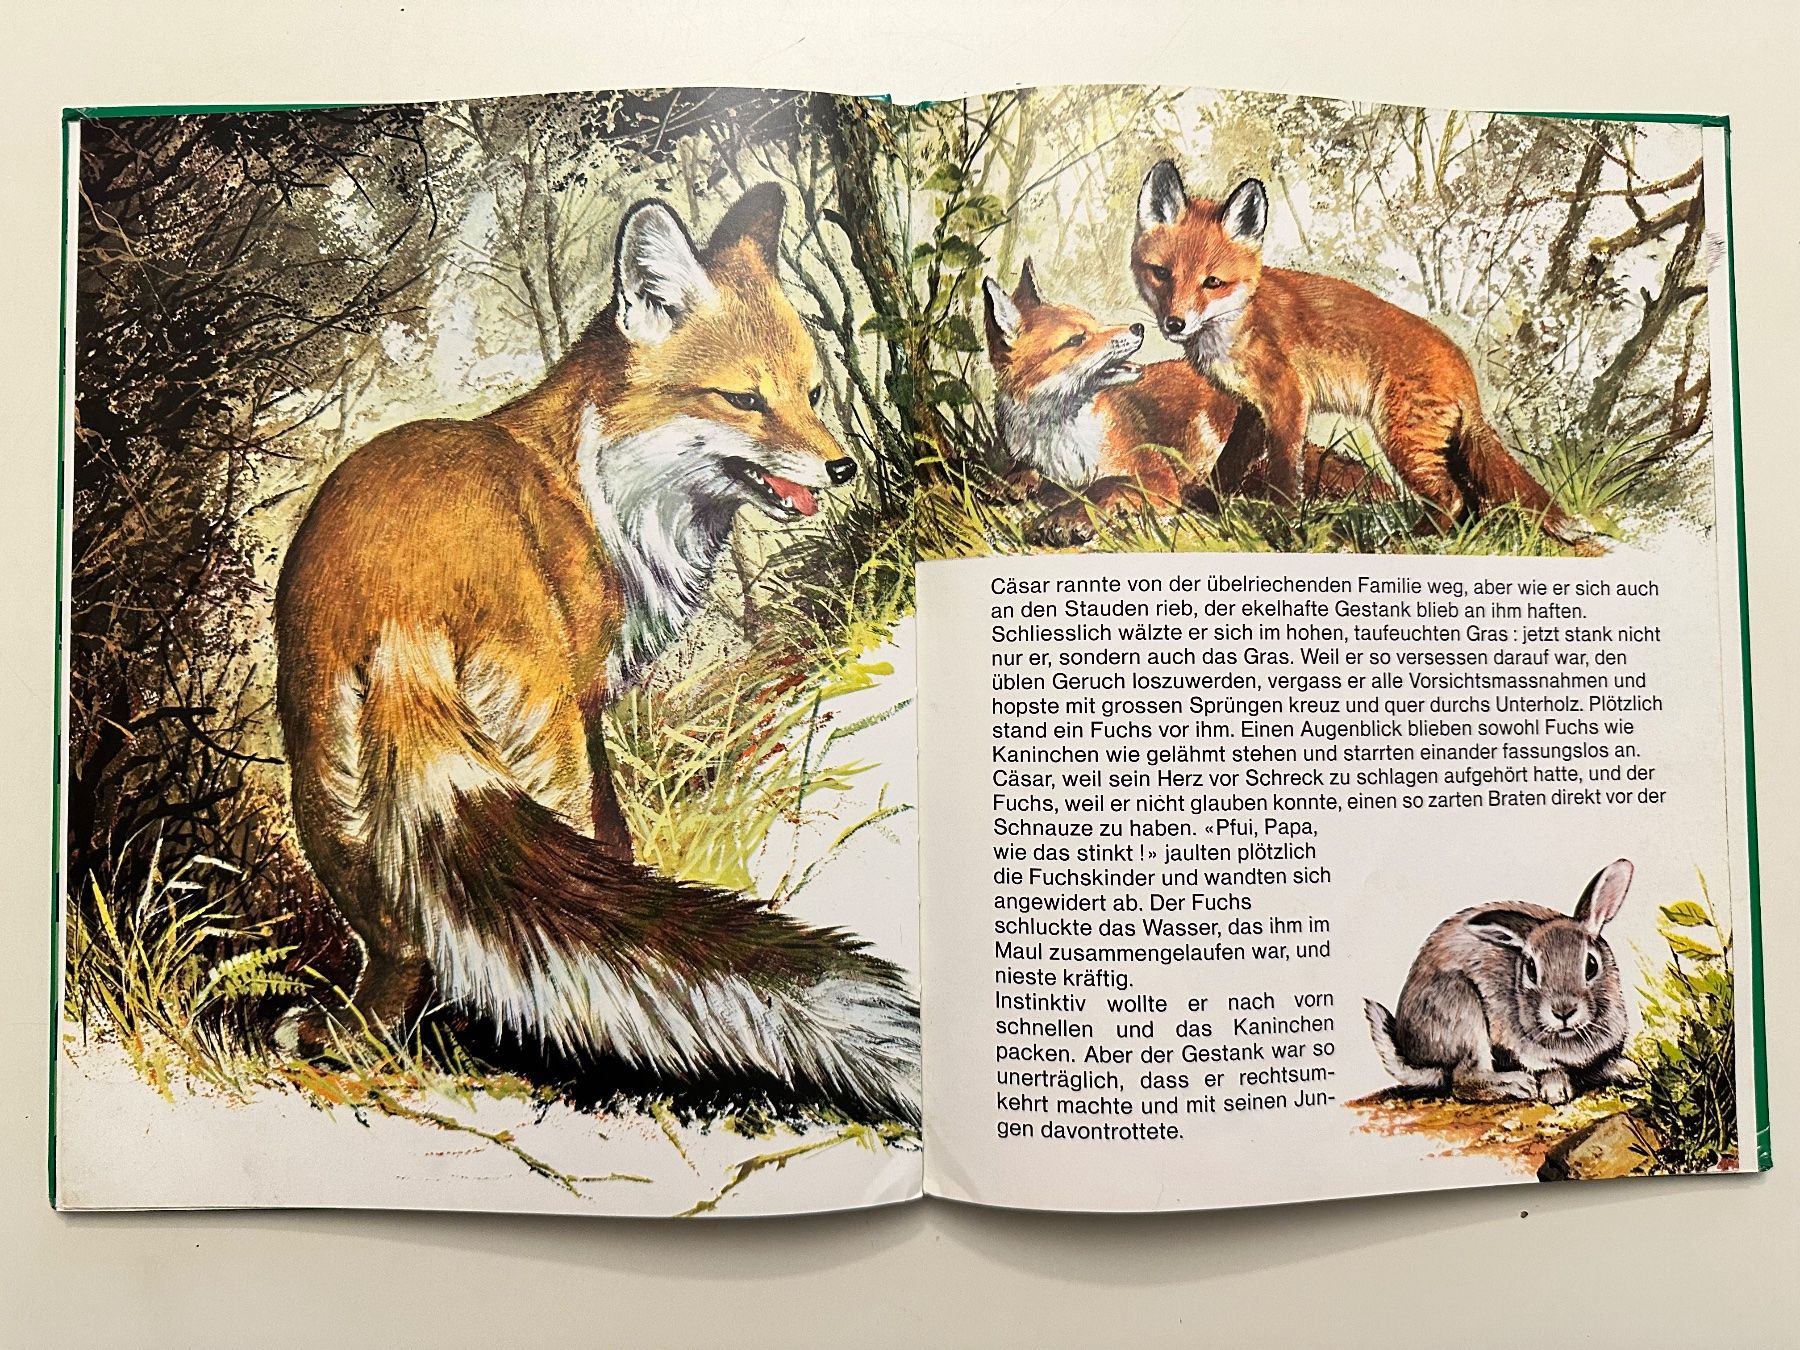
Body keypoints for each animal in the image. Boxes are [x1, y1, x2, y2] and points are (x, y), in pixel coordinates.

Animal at [1364, 860, 1639, 1104]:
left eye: (1591, 965)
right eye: (1531, 969)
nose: (1563, 1011)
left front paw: (1627, 1070)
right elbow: (1547, 1068)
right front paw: (1555, 1091)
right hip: (1461, 1007)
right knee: (1462, 1080)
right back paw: (1517, 1085)